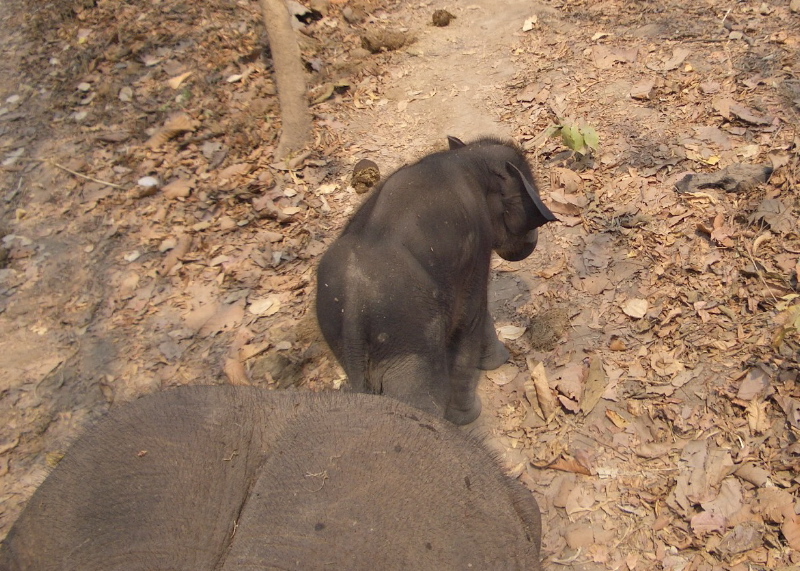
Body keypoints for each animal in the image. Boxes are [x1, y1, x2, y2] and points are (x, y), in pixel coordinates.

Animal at [316, 137, 552, 424]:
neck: (465, 157)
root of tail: (352, 307)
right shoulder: (476, 241)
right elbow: (471, 317)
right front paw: (468, 414)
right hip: (407, 334)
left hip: (338, 335)